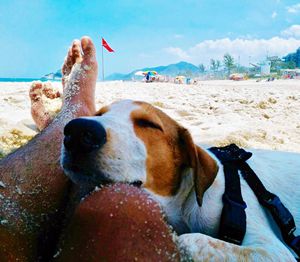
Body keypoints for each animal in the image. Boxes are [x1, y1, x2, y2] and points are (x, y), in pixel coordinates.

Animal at [61, 99, 300, 260]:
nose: (78, 131)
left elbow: (188, 240)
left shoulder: (272, 251)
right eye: (98, 114)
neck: (185, 203)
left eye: (149, 124)